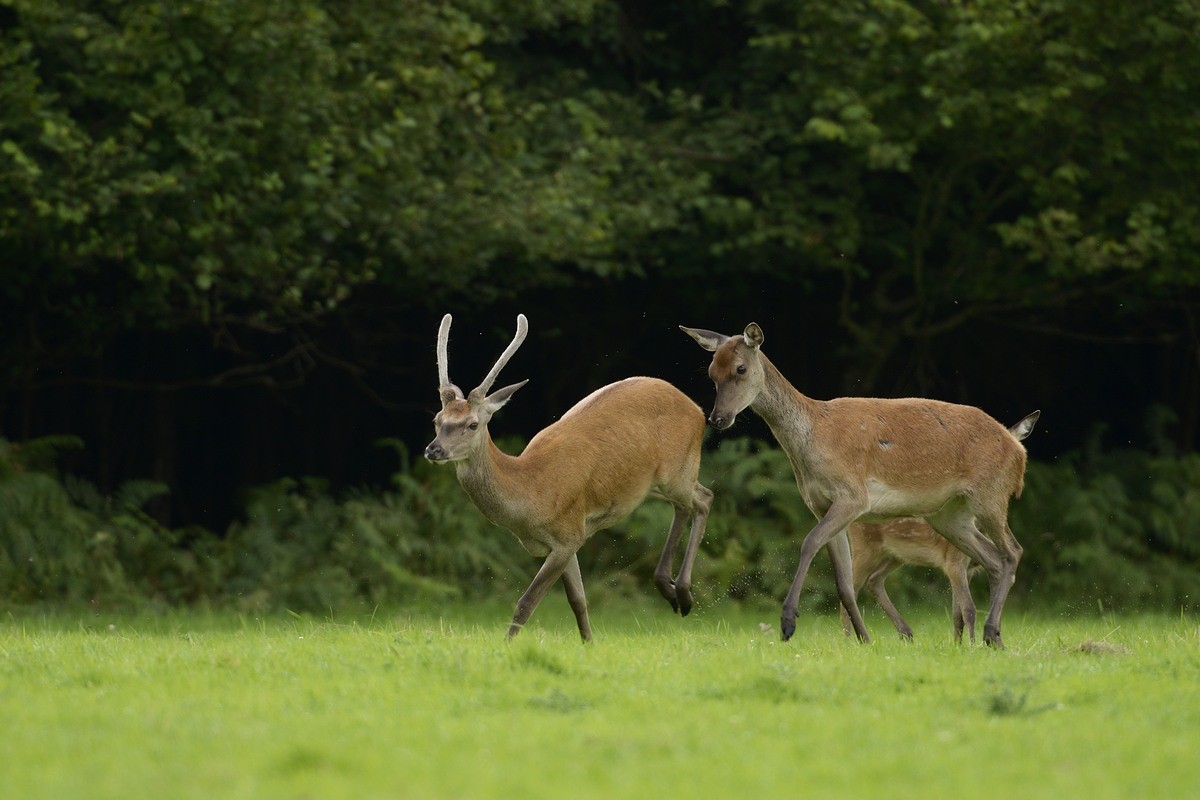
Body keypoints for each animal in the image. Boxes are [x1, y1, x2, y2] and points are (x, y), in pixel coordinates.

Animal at [424, 314, 710, 642]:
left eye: (472, 424)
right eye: (437, 420)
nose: (434, 449)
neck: (531, 493)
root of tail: (699, 410)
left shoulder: (567, 533)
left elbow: (526, 602)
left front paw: (507, 645)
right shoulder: (570, 540)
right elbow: (578, 600)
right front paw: (589, 644)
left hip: (678, 469)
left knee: (702, 500)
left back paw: (682, 593)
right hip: (655, 486)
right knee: (690, 504)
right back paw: (671, 588)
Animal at [844, 407, 1041, 642]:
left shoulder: (967, 568)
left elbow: (958, 614)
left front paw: (958, 645)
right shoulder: (953, 561)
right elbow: (969, 609)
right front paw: (971, 645)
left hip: (895, 555)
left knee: (873, 580)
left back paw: (905, 633)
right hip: (865, 547)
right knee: (852, 586)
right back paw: (849, 640)